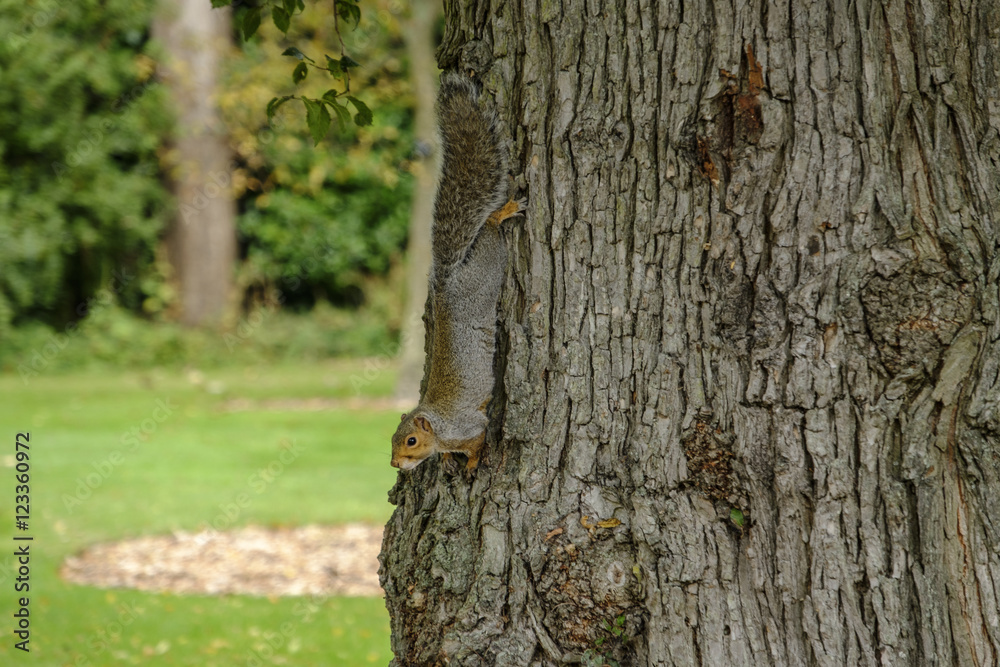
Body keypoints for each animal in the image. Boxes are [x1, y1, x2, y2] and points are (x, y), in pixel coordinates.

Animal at [390, 72, 525, 472]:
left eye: (411, 441)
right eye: (392, 439)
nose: (395, 465)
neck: (441, 426)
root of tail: (446, 284)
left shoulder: (471, 424)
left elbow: (478, 441)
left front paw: (470, 463)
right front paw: (450, 460)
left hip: (488, 268)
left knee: (491, 230)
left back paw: (501, 213)